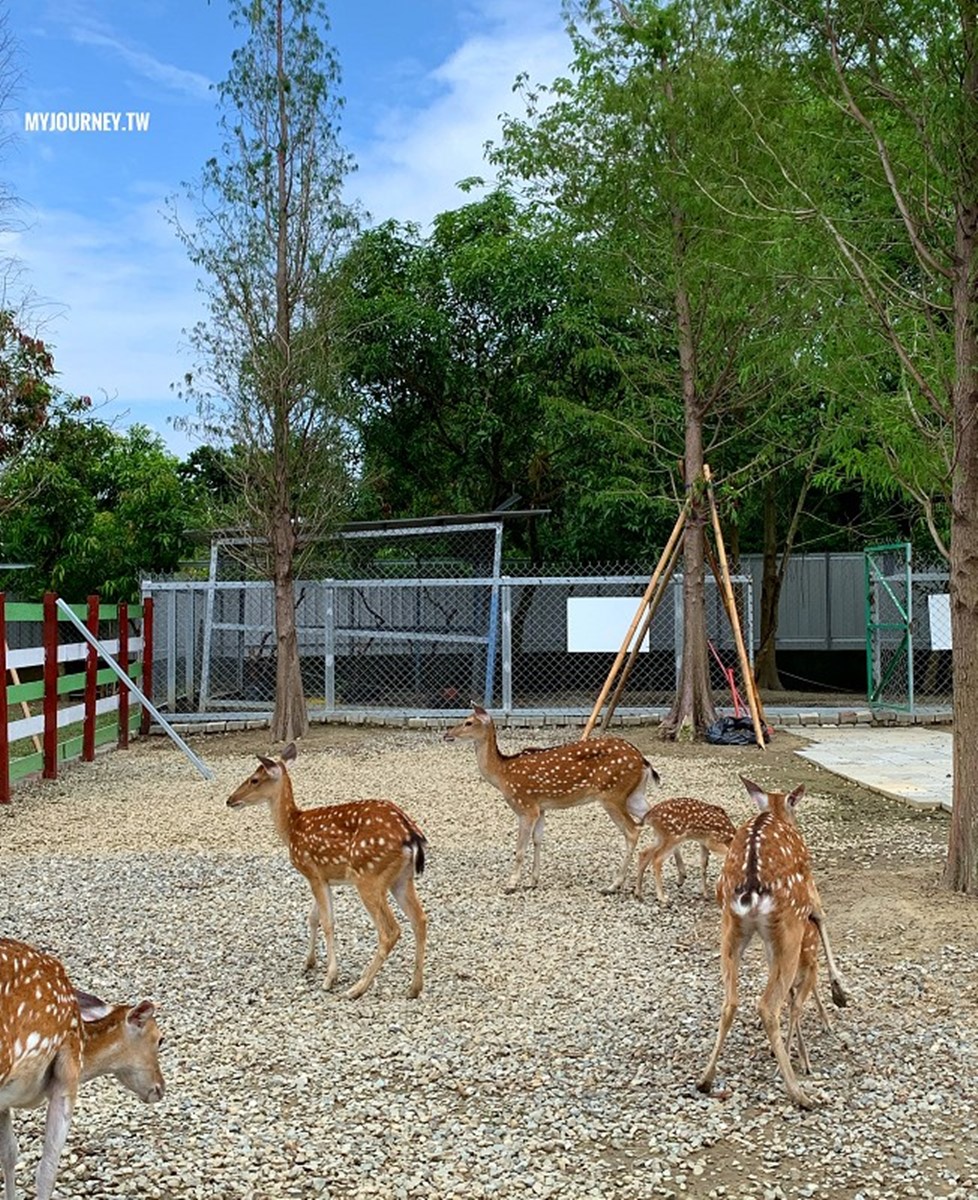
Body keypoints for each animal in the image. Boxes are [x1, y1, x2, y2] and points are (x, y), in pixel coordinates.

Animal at [0, 937, 164, 1200]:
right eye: (160, 1040)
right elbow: (47, 1168)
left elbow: (9, 1153)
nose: (160, 1088)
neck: (84, 1044)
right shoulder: (67, 1078)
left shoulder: (4, 1104)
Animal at [227, 742, 428, 999]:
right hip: (401, 878)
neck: (291, 828)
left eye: (254, 779)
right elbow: (313, 917)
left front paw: (330, 978)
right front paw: (308, 963)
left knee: (390, 930)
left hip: (369, 877)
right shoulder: (325, 877)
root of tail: (411, 836)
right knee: (420, 919)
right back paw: (414, 987)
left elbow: (327, 921)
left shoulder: (311, 871)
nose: (230, 800)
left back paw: (357, 988)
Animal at [444, 705, 659, 893]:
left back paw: (613, 885)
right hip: (634, 796)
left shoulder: (526, 806)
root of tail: (643, 761)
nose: (446, 734)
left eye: (468, 722)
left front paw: (511, 884)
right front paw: (533, 881)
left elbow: (520, 849)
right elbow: (538, 840)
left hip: (612, 794)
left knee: (632, 831)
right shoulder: (541, 807)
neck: (502, 773)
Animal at [697, 776, 848, 1109]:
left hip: (731, 928)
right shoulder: (810, 890)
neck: (776, 811)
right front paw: (840, 992)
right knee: (767, 1004)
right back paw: (799, 1092)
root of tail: (751, 888)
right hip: (789, 923)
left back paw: (705, 1079)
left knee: (731, 1000)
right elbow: (823, 918)